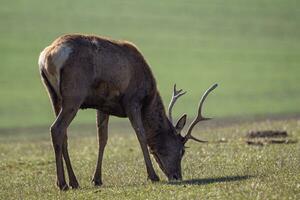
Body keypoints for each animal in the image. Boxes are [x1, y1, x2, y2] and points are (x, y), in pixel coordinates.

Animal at [38, 34, 218, 191]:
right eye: (182, 150)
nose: (177, 176)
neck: (148, 98)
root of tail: (47, 57)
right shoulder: (132, 100)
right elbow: (141, 135)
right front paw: (152, 176)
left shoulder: (103, 105)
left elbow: (102, 139)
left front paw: (97, 179)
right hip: (74, 95)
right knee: (57, 128)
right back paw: (62, 184)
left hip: (54, 96)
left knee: (63, 135)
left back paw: (73, 182)